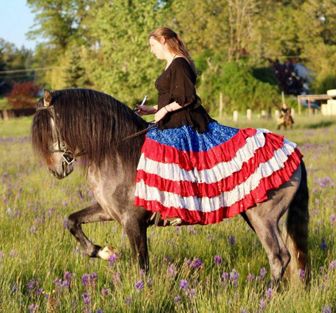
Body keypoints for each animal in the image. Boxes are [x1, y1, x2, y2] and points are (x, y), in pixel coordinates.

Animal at [32, 88, 310, 282]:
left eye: (48, 129)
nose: (57, 170)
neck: (117, 151)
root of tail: (294, 151)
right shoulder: (109, 211)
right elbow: (71, 221)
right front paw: (103, 252)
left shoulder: (133, 222)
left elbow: (142, 265)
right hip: (256, 216)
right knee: (287, 256)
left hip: (263, 218)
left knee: (278, 256)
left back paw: (267, 294)